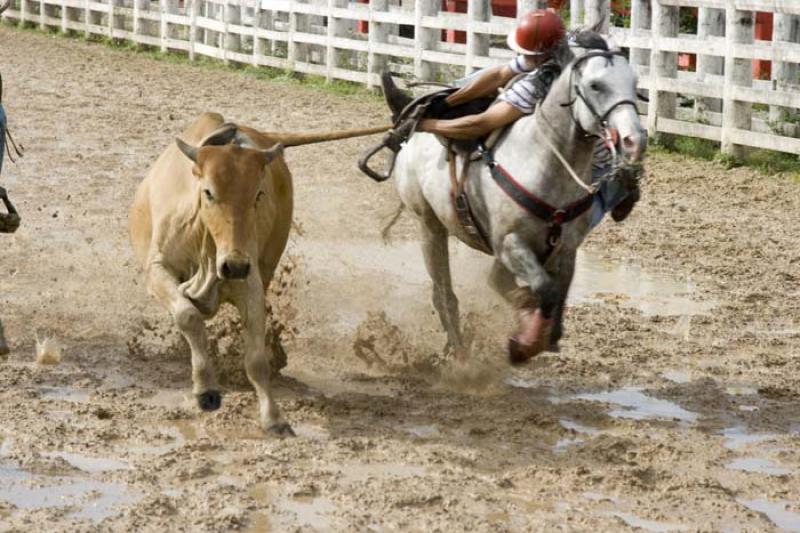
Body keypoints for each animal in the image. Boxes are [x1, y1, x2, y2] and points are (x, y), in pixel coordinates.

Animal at [131, 111, 388, 432]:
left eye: (258, 194)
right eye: (209, 192)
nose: (234, 264)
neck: (207, 245)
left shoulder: (250, 280)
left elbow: (255, 359)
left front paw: (273, 416)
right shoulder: (157, 268)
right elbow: (188, 316)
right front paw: (206, 389)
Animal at [394, 33, 648, 364]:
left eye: (634, 82)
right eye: (596, 85)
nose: (634, 140)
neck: (541, 161)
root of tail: (413, 133)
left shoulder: (566, 250)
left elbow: (554, 293)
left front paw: (547, 335)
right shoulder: (510, 243)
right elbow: (539, 289)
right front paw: (525, 343)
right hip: (429, 225)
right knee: (444, 292)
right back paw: (459, 350)